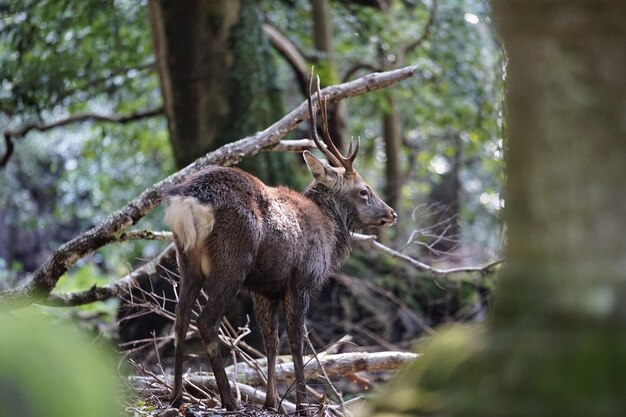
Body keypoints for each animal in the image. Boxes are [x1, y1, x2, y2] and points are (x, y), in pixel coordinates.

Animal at [162, 71, 394, 412]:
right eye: (364, 190)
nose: (391, 213)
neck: (329, 232)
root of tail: (190, 197)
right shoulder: (302, 279)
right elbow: (296, 342)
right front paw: (301, 404)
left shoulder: (265, 286)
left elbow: (271, 342)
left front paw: (272, 401)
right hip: (232, 260)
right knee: (205, 322)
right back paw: (229, 400)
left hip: (186, 259)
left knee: (180, 323)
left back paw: (178, 396)